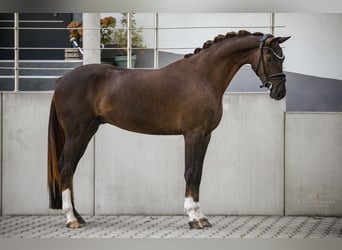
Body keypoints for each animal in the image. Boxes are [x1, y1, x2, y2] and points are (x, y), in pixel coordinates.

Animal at [47, 30, 288, 229]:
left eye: (282, 57)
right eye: (269, 58)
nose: (280, 92)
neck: (202, 76)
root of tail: (61, 80)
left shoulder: (206, 136)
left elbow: (198, 173)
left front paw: (201, 216)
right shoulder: (193, 134)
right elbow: (190, 171)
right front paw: (193, 217)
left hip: (87, 132)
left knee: (70, 168)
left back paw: (78, 216)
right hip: (76, 134)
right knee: (65, 167)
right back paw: (71, 219)